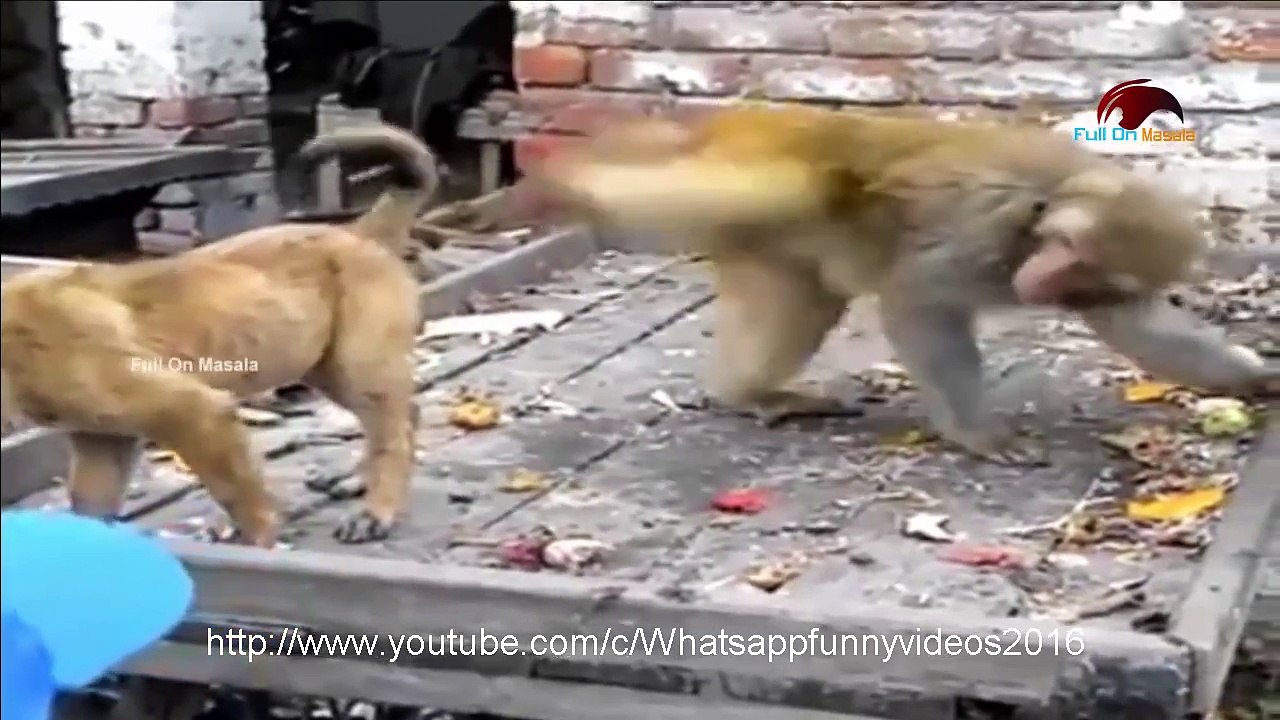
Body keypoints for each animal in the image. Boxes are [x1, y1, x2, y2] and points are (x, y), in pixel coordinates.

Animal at [0, 123, 437, 547]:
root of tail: (358, 232)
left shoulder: (192, 411)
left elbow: (240, 498)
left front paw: (257, 543)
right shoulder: (101, 439)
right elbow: (89, 507)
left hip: (357, 365)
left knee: (393, 435)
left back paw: (374, 513)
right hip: (324, 367)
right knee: (405, 416)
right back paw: (356, 482)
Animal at [504, 105, 1277, 465]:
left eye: (1082, 268)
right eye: (1062, 249)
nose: (1038, 281)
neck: (1041, 208)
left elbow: (1147, 332)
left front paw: (1257, 379)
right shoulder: (976, 226)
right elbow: (919, 303)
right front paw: (975, 431)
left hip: (773, 245)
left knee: (803, 300)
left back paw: (745, 391)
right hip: (772, 162)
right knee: (771, 186)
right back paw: (562, 192)